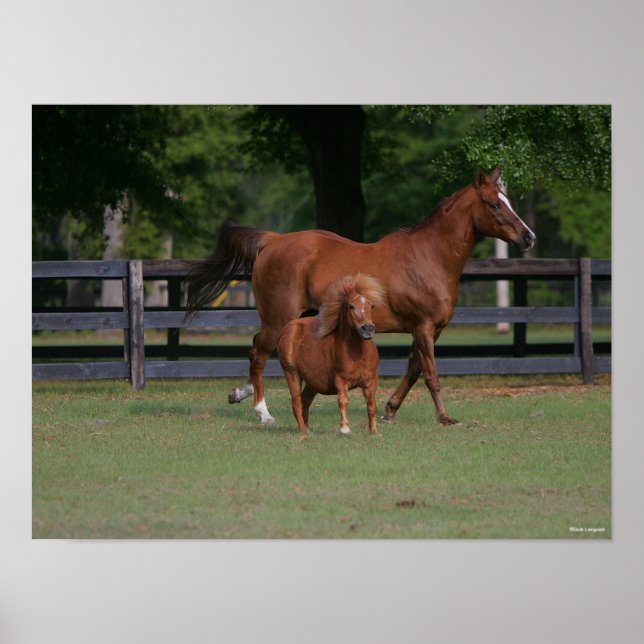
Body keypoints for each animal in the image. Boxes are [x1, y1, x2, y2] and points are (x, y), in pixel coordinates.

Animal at [277, 273, 384, 435]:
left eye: (371, 305)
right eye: (351, 306)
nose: (368, 329)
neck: (358, 354)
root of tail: (289, 328)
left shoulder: (371, 381)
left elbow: (372, 405)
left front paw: (374, 432)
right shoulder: (341, 380)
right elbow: (343, 401)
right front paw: (345, 428)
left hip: (312, 383)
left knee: (305, 401)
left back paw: (307, 430)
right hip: (292, 373)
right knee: (296, 402)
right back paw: (303, 432)